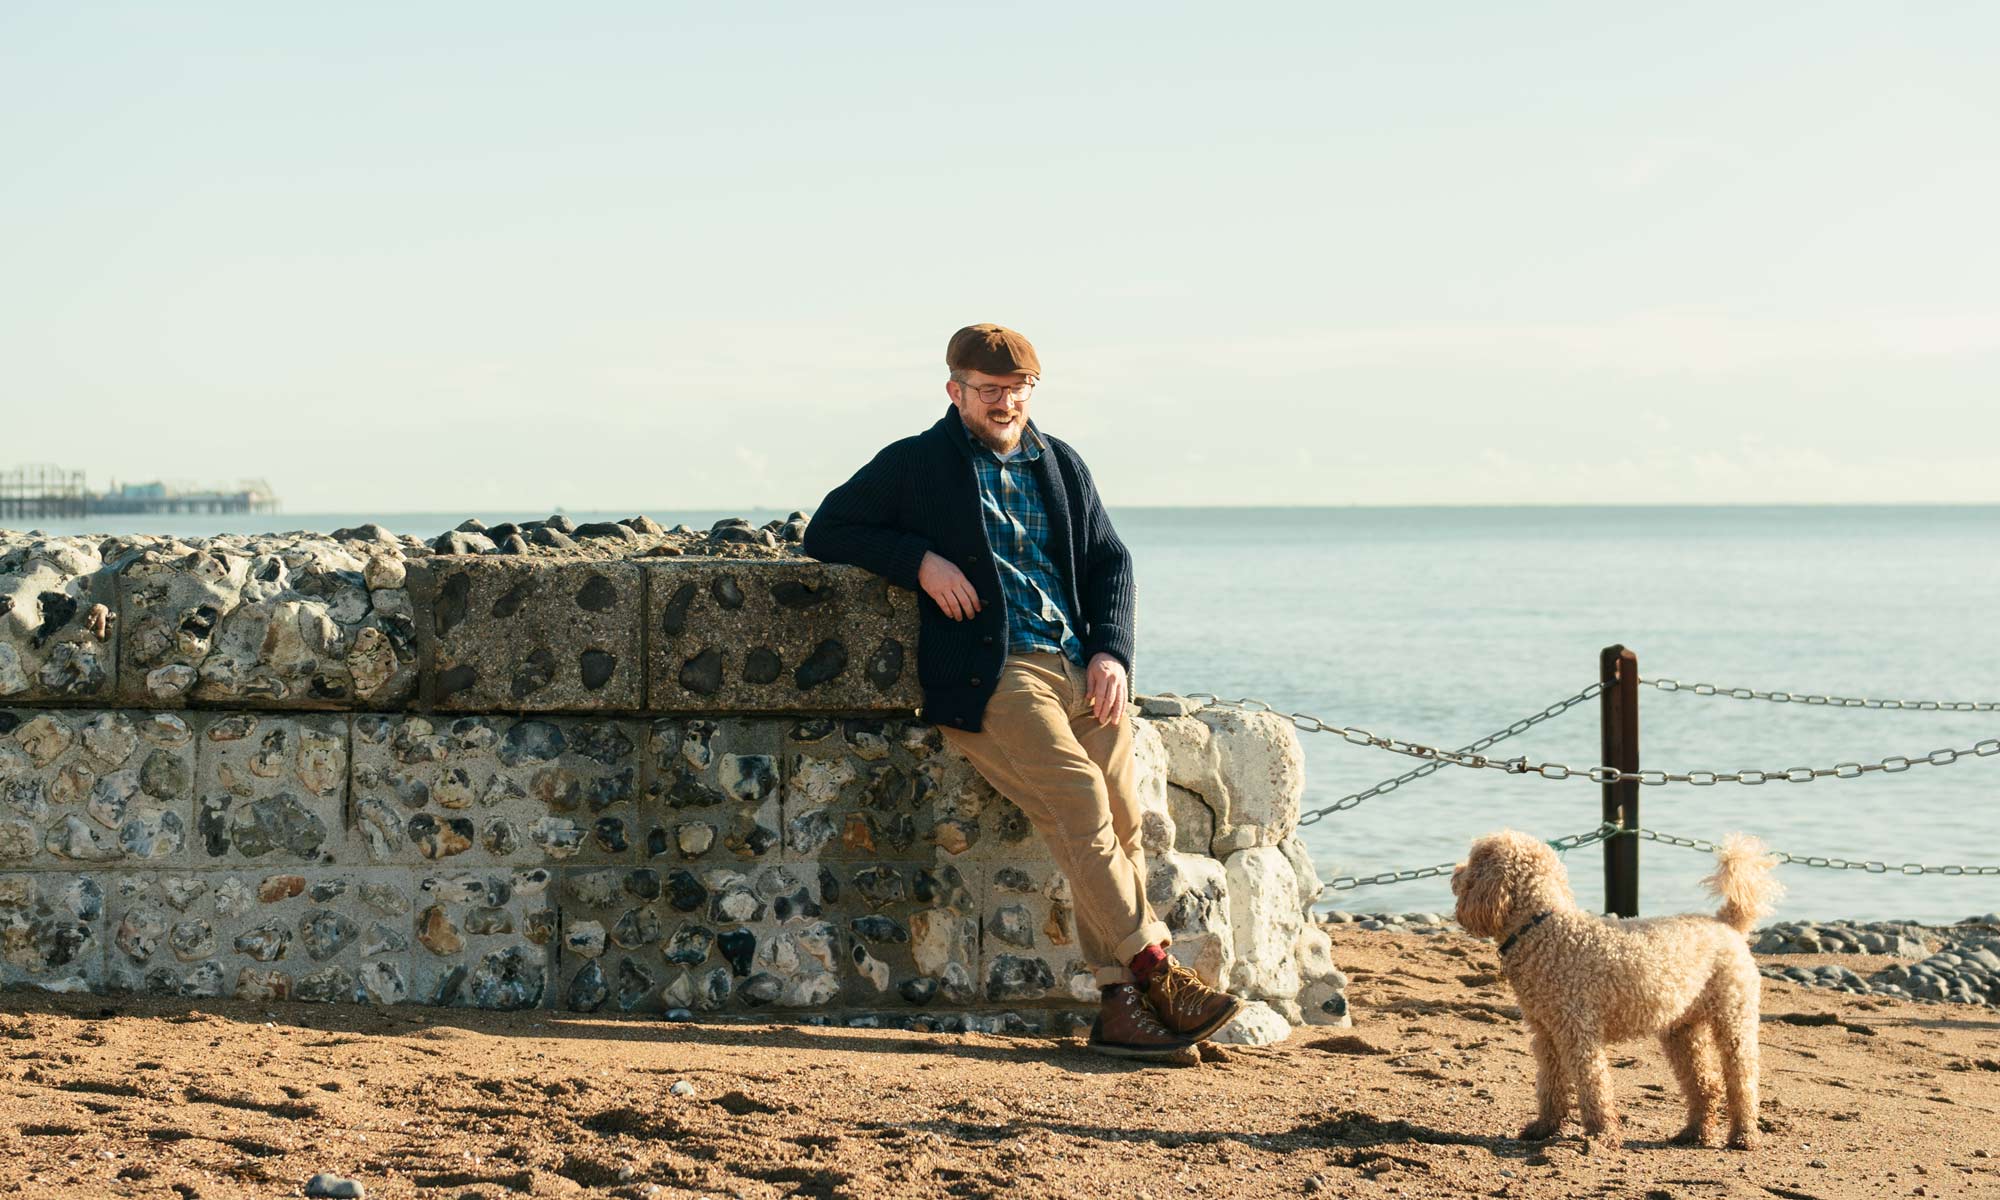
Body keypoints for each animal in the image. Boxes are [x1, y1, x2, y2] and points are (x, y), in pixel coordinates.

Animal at [1456, 828, 1784, 1152]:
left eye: (1475, 861)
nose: (1455, 872)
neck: (1541, 928)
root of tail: (1726, 923)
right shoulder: (1546, 1034)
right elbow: (1550, 1084)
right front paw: (1543, 1127)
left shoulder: (1577, 1031)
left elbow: (1593, 1084)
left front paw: (1602, 1135)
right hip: (1681, 1029)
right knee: (1705, 1085)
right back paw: (1693, 1133)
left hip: (1733, 1017)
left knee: (1742, 1080)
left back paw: (1743, 1136)